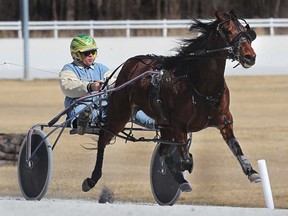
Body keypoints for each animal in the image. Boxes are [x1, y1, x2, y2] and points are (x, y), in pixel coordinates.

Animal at [81, 10, 260, 192]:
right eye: (228, 30)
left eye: (244, 30)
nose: (250, 57)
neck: (202, 86)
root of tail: (131, 63)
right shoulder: (179, 125)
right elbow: (185, 159)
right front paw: (184, 164)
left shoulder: (224, 120)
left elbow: (236, 147)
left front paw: (251, 171)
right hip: (121, 113)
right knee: (103, 138)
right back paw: (92, 178)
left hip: (163, 123)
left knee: (163, 151)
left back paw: (181, 180)